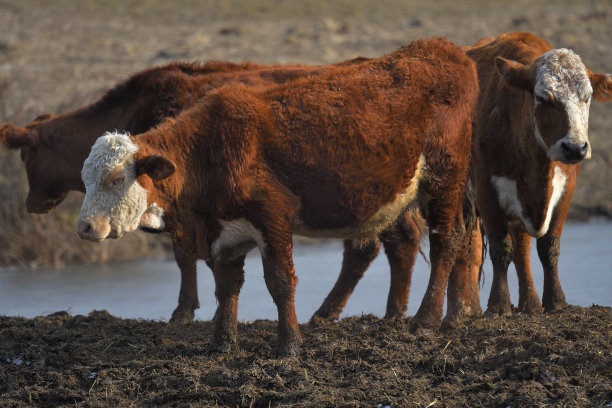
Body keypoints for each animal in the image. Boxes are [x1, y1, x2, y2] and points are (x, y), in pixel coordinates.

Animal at [466, 31, 608, 318]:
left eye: (587, 97)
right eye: (543, 98)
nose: (575, 147)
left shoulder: (566, 189)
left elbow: (548, 247)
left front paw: (555, 301)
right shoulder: (486, 190)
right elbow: (500, 248)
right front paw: (498, 306)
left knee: (521, 247)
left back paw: (530, 304)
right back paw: (467, 308)